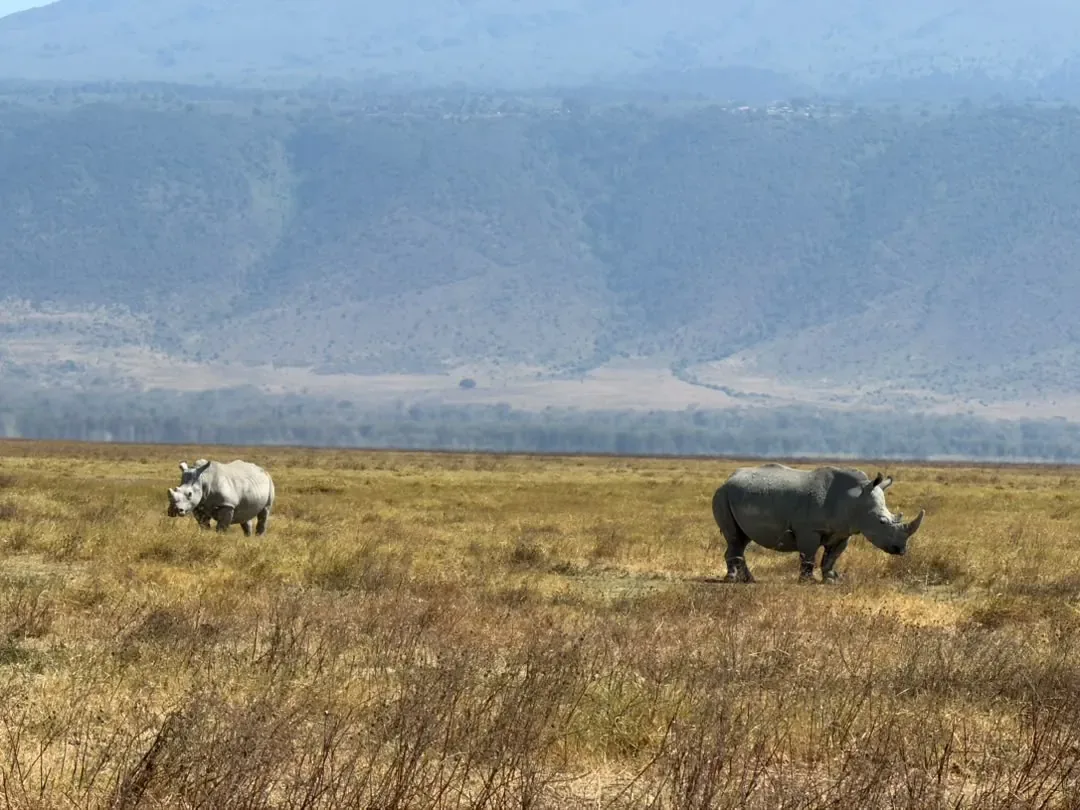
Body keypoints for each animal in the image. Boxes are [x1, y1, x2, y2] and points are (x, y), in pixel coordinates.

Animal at [711, 463, 925, 583]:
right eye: (882, 522)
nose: (901, 550)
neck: (855, 498)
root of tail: (727, 479)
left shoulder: (843, 531)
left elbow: (832, 557)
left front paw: (831, 579)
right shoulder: (809, 530)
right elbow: (809, 555)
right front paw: (807, 581)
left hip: (735, 494)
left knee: (742, 539)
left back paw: (748, 580)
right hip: (722, 495)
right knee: (734, 537)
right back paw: (732, 580)